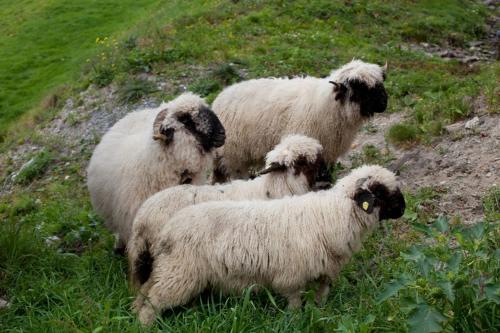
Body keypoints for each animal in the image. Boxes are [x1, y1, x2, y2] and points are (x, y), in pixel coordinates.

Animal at [134, 165, 406, 322]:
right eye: (382, 192)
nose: (403, 209)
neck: (333, 213)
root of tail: (165, 230)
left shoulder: (326, 270)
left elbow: (321, 296)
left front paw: (320, 312)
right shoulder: (292, 276)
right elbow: (295, 303)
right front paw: (296, 320)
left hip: (170, 270)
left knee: (144, 292)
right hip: (180, 274)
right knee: (152, 302)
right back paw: (146, 324)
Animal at [213, 59, 388, 179]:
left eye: (380, 84)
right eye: (360, 89)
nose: (384, 103)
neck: (330, 107)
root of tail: (219, 98)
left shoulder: (329, 153)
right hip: (234, 156)